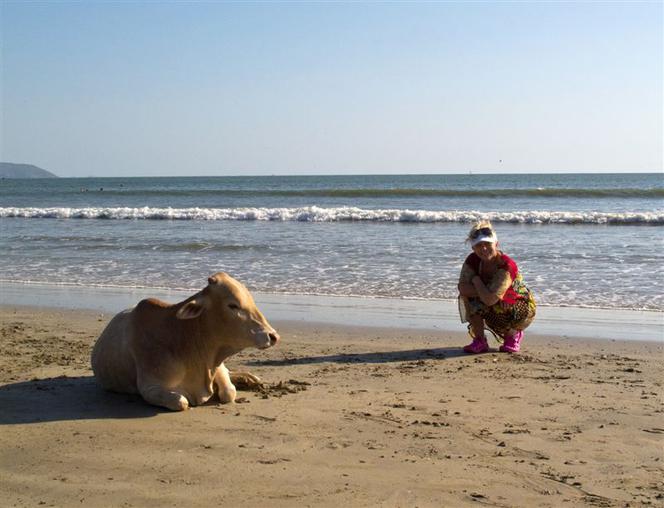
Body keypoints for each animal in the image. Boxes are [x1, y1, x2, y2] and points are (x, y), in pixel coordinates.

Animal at [91, 272, 280, 410]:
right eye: (233, 305)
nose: (273, 336)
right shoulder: (149, 387)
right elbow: (182, 402)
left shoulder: (215, 366)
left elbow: (228, 391)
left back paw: (249, 378)